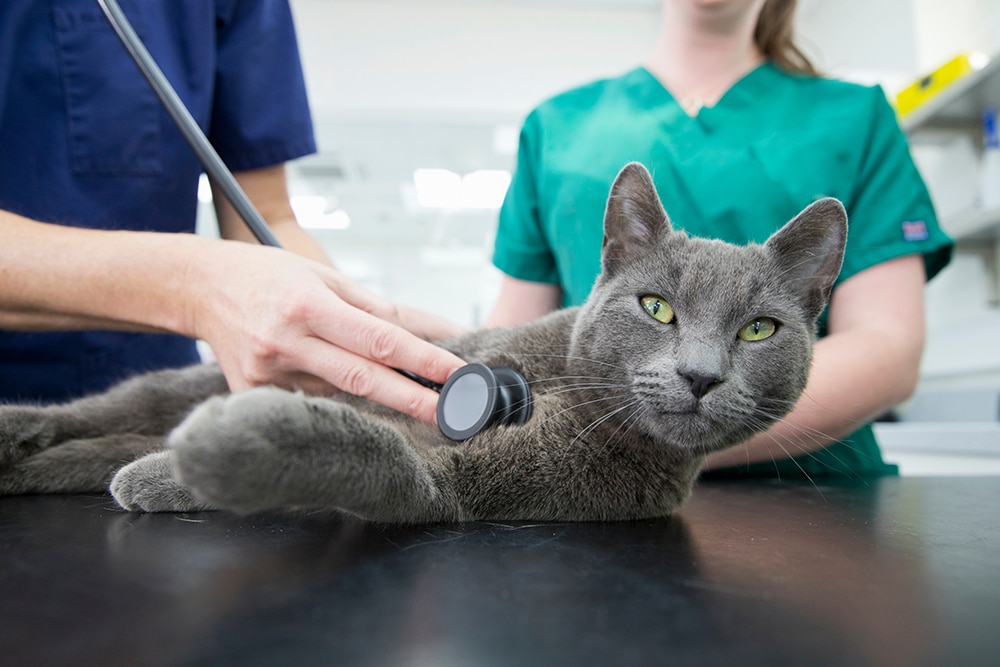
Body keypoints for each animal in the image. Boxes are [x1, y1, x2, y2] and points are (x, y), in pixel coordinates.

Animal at [0, 164, 844, 524]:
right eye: (657, 307)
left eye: (758, 329)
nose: (700, 374)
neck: (562, 393)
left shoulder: (459, 485)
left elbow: (372, 452)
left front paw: (212, 454)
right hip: (174, 385)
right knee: (101, 407)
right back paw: (19, 429)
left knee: (99, 445)